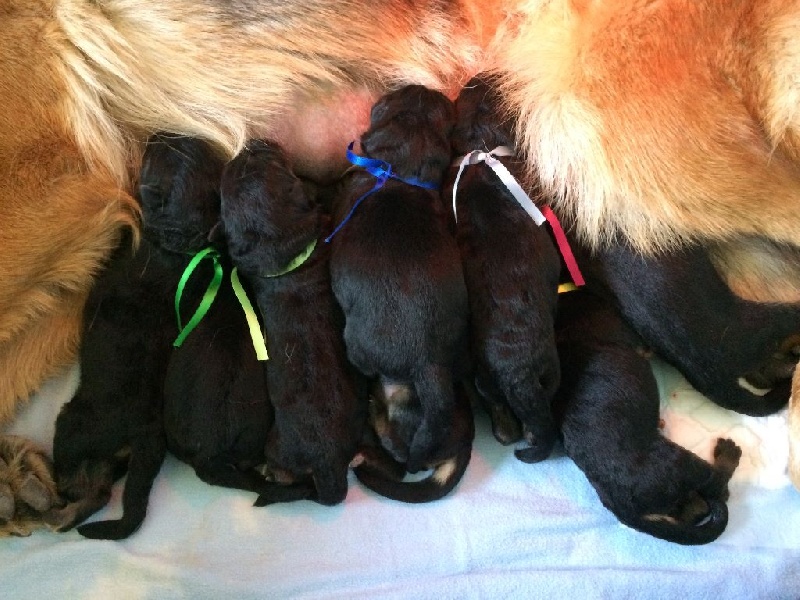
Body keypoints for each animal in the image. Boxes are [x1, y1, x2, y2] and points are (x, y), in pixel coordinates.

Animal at [51, 135, 225, 539]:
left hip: (76, 427)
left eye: (153, 157)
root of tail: (144, 434)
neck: (177, 241)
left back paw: (64, 508)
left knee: (86, 485)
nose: (159, 135)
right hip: (111, 460)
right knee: (103, 490)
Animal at [446, 75, 561, 461]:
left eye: (467, 92)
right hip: (549, 369)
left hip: (485, 378)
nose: (479, 74)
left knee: (500, 414)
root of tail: (517, 374)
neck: (481, 149)